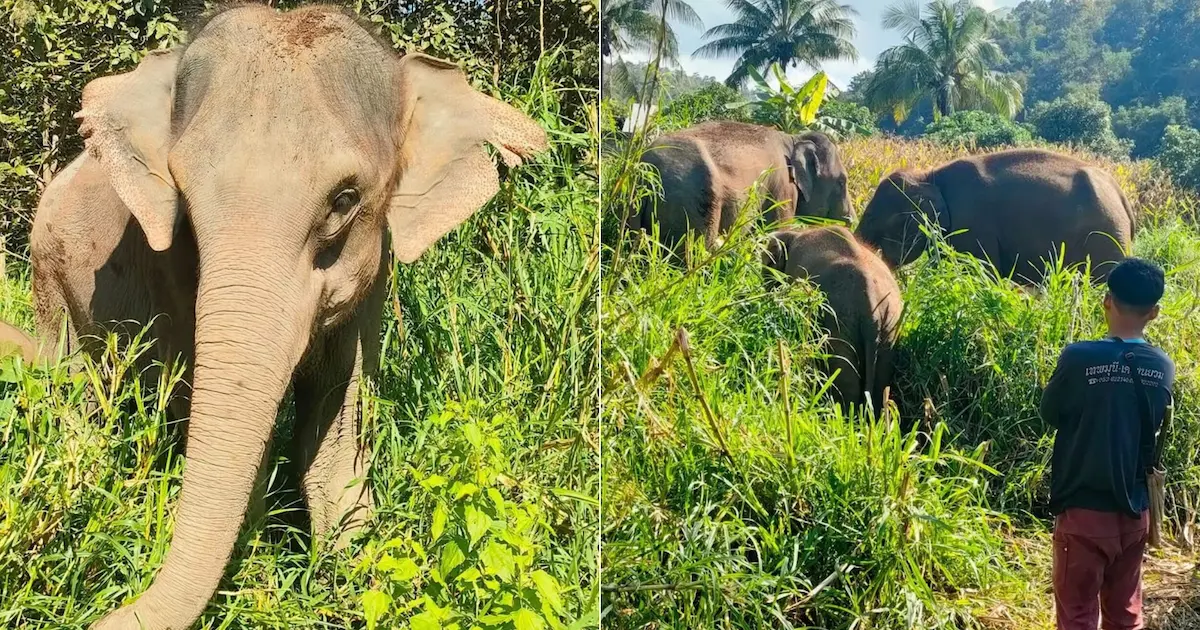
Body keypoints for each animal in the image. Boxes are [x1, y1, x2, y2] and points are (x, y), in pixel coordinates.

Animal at [14, 5, 548, 629]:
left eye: (344, 200)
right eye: (183, 196)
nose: (104, 617)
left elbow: (338, 421)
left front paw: (358, 576)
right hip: (48, 277)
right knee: (73, 393)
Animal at [629, 121, 853, 251]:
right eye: (842, 181)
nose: (850, 218)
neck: (793, 138)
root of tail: (648, 171)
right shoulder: (783, 188)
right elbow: (777, 231)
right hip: (694, 205)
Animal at [854, 148, 1134, 284]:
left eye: (876, 220)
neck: (929, 175)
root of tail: (1121, 195)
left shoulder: (972, 224)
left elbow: (980, 271)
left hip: (1105, 237)